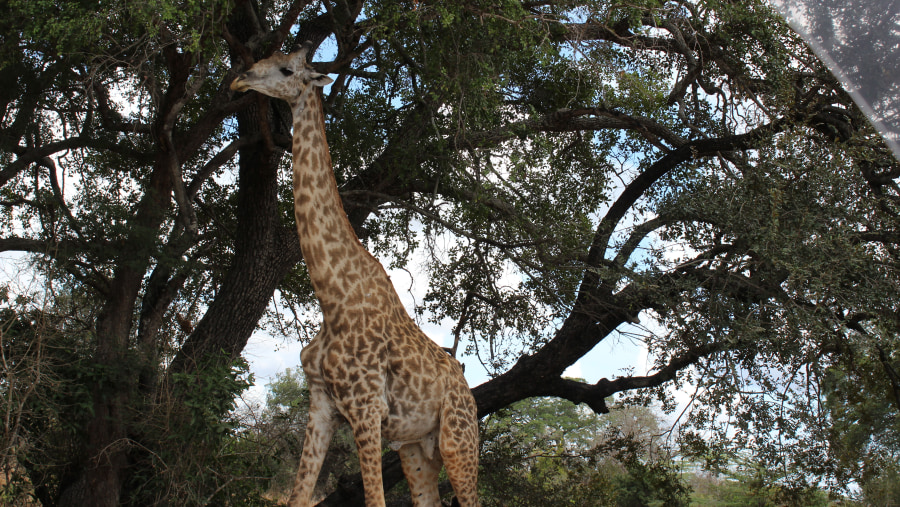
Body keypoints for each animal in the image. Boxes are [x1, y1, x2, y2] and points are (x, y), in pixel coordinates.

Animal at [232, 43, 482, 507]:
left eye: (286, 69)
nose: (240, 80)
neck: (331, 296)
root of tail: (468, 392)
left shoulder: (366, 409)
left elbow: (374, 499)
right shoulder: (321, 407)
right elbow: (298, 496)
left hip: (459, 441)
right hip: (417, 448)